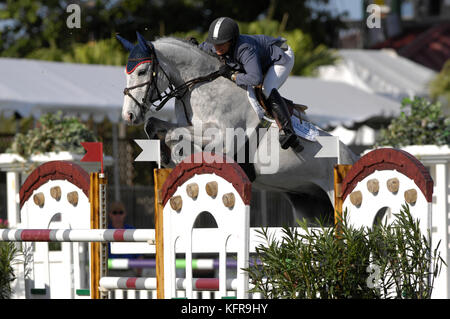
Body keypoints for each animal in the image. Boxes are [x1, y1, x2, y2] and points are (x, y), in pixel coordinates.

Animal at [117, 33, 358, 225]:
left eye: (142, 72)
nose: (128, 115)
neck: (200, 85)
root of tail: (352, 156)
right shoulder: (191, 126)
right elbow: (155, 125)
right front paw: (165, 156)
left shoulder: (224, 138)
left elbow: (176, 137)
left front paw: (176, 156)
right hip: (308, 204)